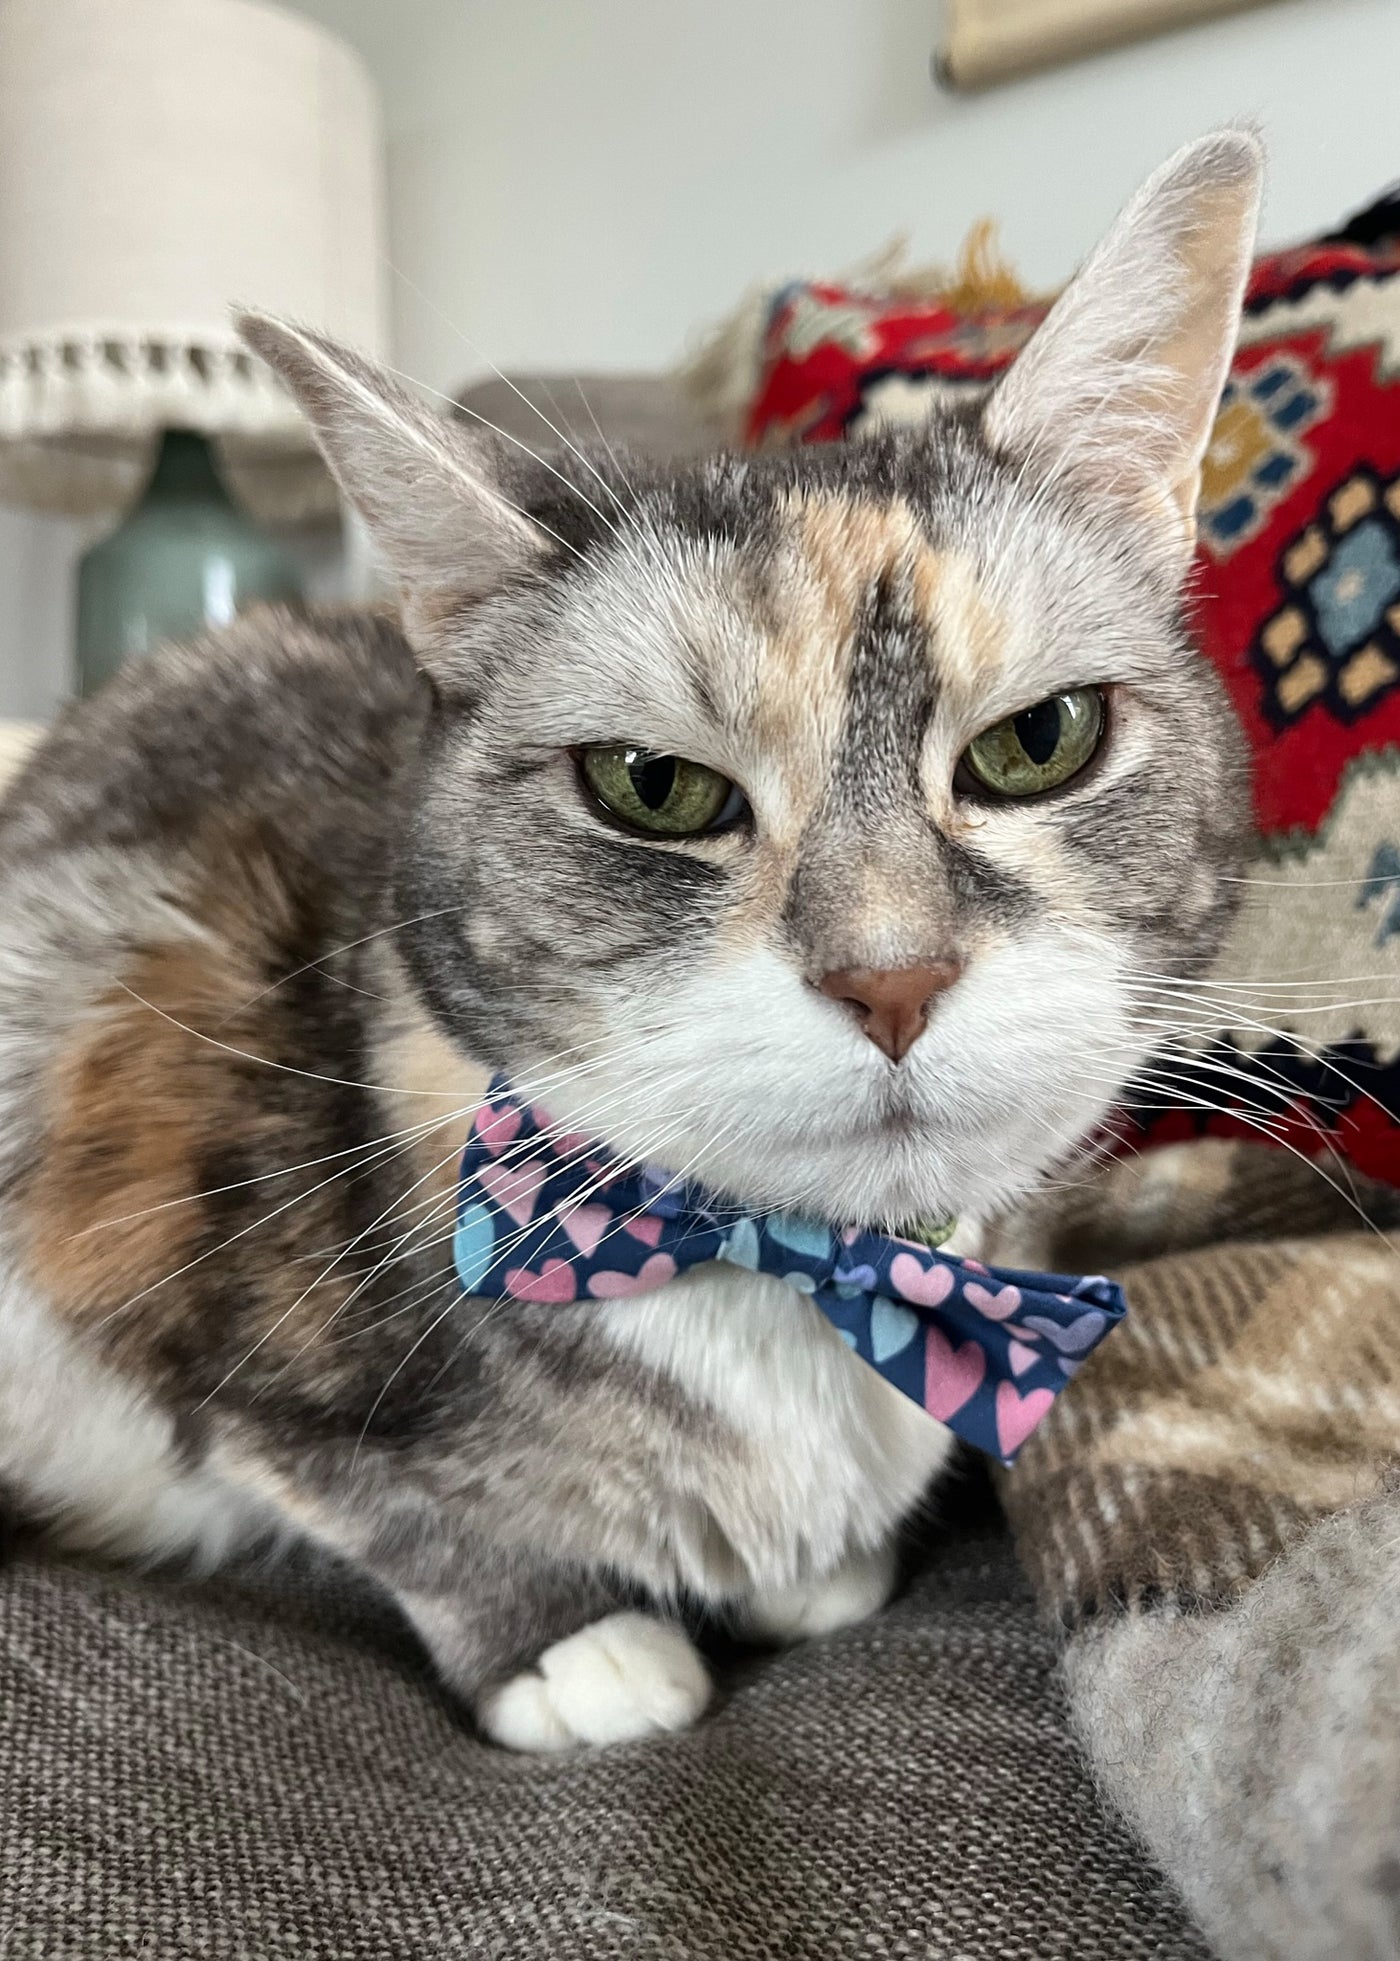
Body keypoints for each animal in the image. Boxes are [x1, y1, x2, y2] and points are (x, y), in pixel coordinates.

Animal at [0, 130, 1254, 1757]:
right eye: (655, 788)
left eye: (1036, 743)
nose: (891, 974)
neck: (799, 1273)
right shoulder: (118, 1128)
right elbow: (359, 1485)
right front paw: (567, 1639)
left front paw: (811, 1568)